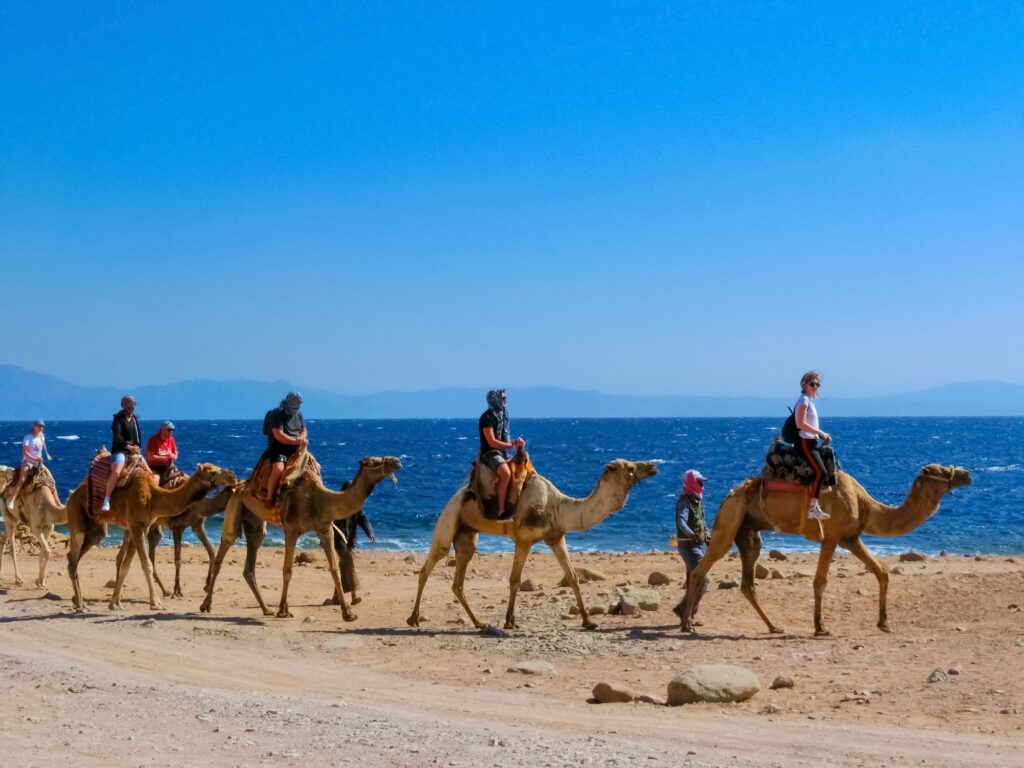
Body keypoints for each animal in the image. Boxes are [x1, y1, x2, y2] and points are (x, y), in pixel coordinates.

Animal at [65, 463, 237, 612]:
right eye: (212, 472)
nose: (233, 476)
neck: (153, 497)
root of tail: (71, 495)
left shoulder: (143, 527)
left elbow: (128, 565)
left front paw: (114, 603)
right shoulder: (141, 526)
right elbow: (148, 564)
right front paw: (157, 603)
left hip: (97, 530)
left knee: (74, 557)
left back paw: (80, 601)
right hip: (76, 516)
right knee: (74, 558)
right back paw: (81, 605)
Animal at [200, 456, 402, 621]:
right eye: (374, 461)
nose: (397, 461)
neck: (322, 499)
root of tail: (238, 486)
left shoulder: (324, 528)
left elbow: (334, 569)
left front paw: (348, 614)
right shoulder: (291, 529)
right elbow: (288, 570)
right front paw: (283, 610)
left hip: (254, 521)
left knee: (250, 561)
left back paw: (266, 609)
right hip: (235, 506)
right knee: (223, 551)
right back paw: (206, 605)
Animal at [407, 456, 659, 631]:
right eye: (630, 467)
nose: (653, 466)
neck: (558, 506)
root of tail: (455, 496)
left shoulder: (556, 537)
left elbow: (573, 577)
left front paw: (589, 621)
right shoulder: (524, 539)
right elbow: (515, 580)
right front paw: (509, 622)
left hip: (467, 536)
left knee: (458, 582)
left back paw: (480, 623)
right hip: (448, 519)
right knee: (427, 567)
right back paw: (413, 619)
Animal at [680, 463, 972, 636]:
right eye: (942, 471)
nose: (967, 474)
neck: (865, 504)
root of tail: (729, 495)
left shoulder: (851, 538)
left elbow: (882, 571)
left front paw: (884, 623)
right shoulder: (831, 536)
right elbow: (820, 581)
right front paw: (820, 627)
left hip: (749, 530)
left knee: (747, 582)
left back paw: (774, 626)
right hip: (730, 519)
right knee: (702, 568)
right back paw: (686, 623)